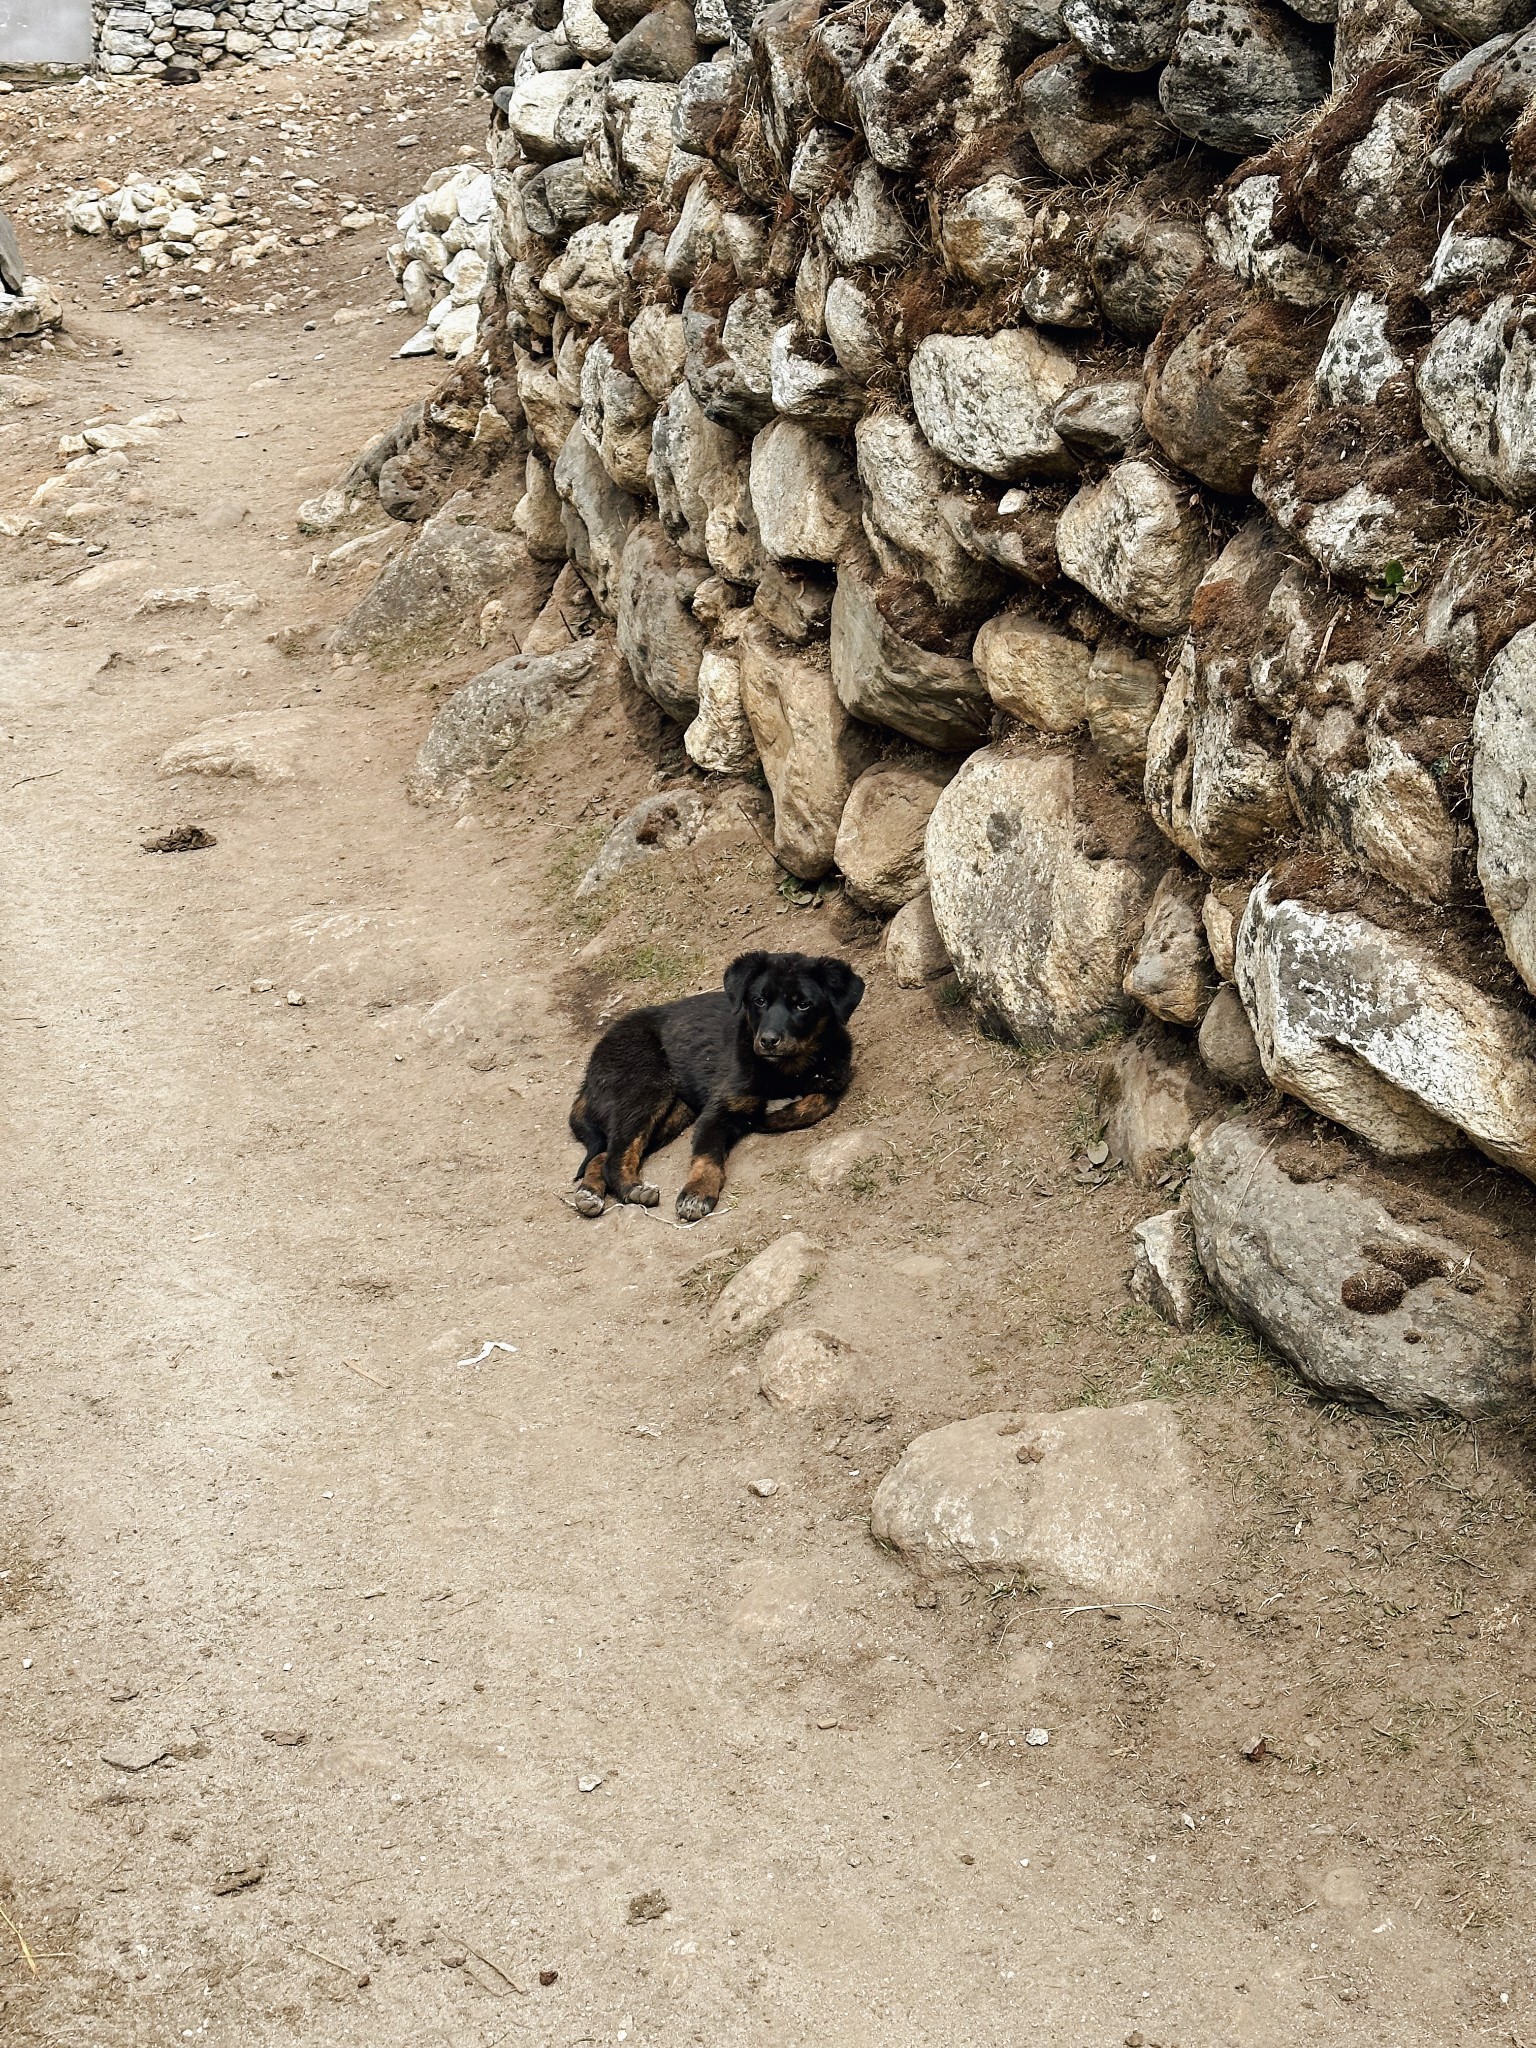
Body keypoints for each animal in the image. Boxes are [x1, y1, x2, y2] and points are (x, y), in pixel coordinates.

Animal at [573, 954, 872, 1220]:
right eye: (759, 1001)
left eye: (803, 1005)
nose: (768, 1041)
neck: (784, 1071)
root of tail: (589, 1069)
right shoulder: (717, 1112)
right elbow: (707, 1157)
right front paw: (696, 1194)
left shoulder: (834, 1077)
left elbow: (818, 1101)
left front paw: (772, 1114)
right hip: (646, 1086)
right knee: (616, 1152)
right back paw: (628, 1189)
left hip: (674, 1113)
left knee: (605, 1153)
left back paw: (590, 1193)